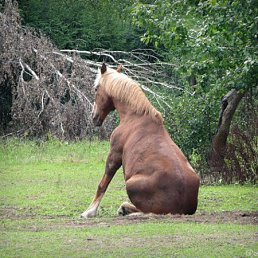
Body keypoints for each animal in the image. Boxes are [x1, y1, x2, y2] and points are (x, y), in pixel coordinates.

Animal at [80, 63, 200, 218]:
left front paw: (89, 211)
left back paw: (125, 209)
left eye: (96, 89)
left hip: (130, 184)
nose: (94, 117)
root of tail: (182, 209)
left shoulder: (114, 156)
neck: (133, 116)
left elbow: (102, 184)